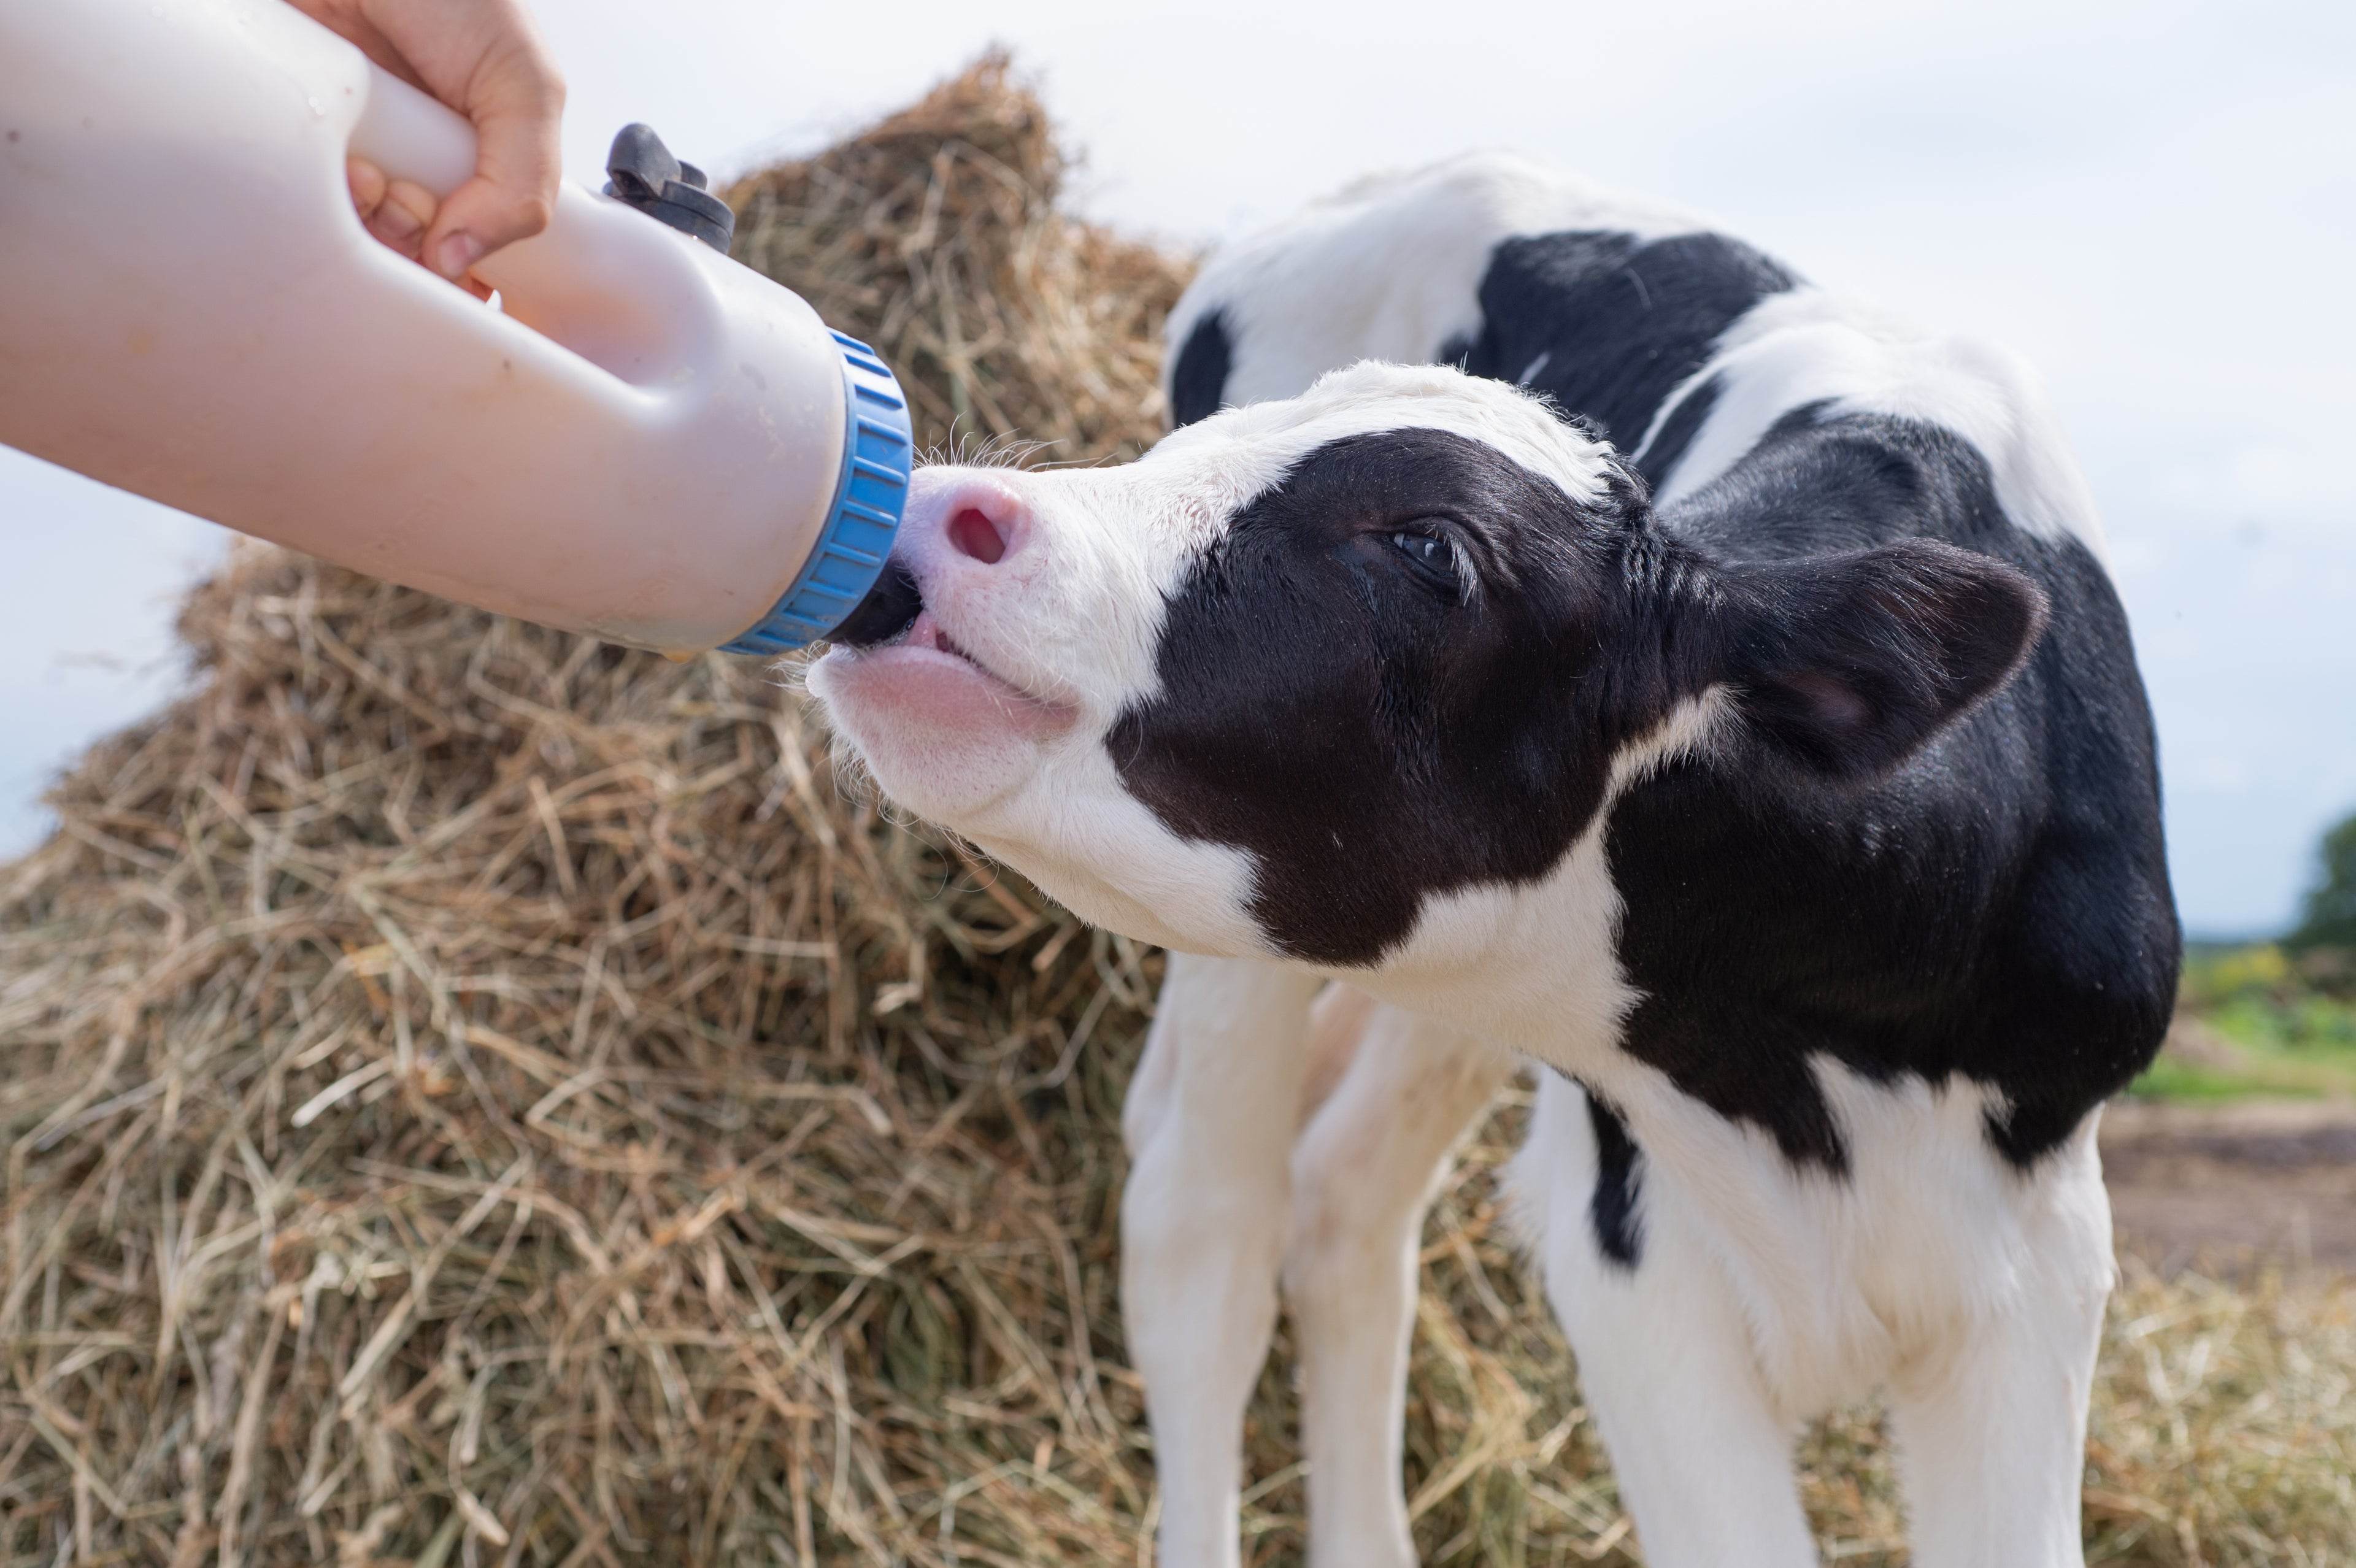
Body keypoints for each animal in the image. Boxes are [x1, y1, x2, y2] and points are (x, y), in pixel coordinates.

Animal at [807, 151, 2178, 1568]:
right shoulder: (1630, 1252)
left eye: (1430, 547)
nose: (935, 510)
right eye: (1181, 455)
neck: (1817, 1079)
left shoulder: (2039, 1265)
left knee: (1342, 1203)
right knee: (1203, 1233)